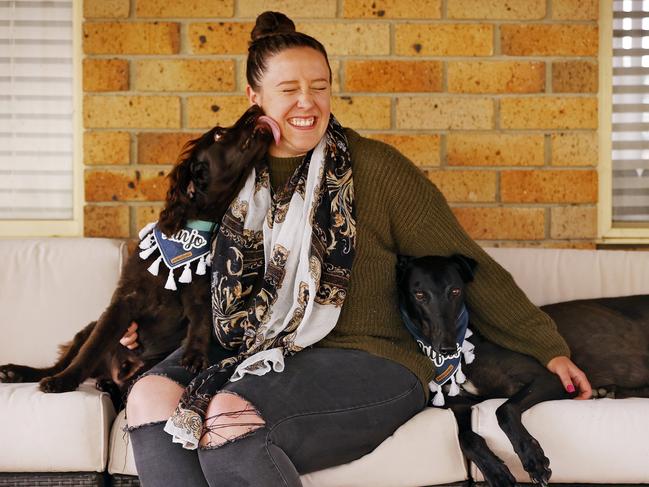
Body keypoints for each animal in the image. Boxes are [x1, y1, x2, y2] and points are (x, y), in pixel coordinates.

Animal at [0, 105, 278, 402]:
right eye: (218, 135)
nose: (255, 108)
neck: (183, 236)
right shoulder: (122, 303)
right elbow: (91, 349)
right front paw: (64, 381)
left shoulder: (198, 293)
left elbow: (201, 323)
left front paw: (194, 355)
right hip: (87, 328)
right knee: (62, 361)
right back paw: (22, 373)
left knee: (125, 389)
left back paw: (107, 385)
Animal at [394, 255, 648, 487]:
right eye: (419, 295)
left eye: (455, 291)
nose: (446, 348)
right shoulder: (459, 407)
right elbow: (465, 436)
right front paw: (496, 471)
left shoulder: (553, 379)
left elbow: (504, 409)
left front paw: (534, 459)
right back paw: (606, 391)